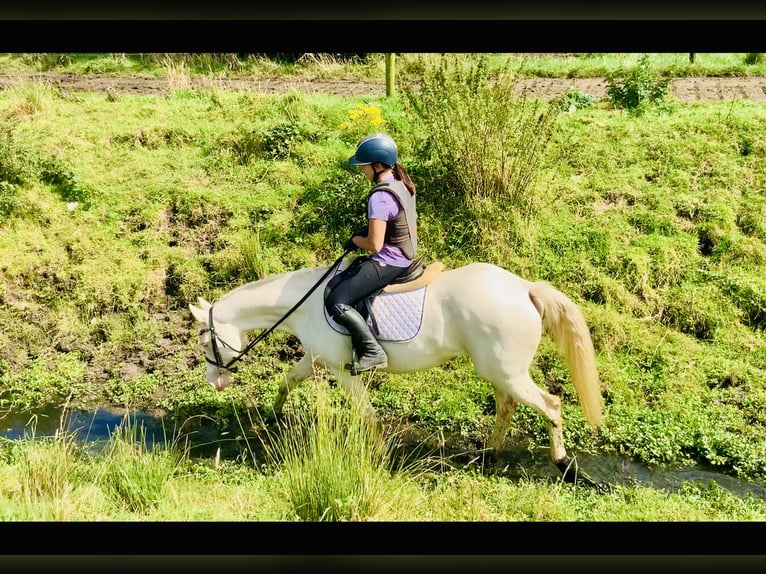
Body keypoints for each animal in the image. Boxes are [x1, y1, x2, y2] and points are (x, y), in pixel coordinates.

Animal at [190, 260, 608, 486]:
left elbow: (366, 413)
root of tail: (523, 288)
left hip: (506, 371)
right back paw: (489, 454)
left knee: (550, 405)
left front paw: (377, 454)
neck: (304, 304)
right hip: (499, 371)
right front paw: (272, 415)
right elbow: (288, 380)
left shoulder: (343, 370)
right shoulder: (315, 358)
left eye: (204, 339)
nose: (215, 382)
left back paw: (564, 467)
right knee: (507, 406)